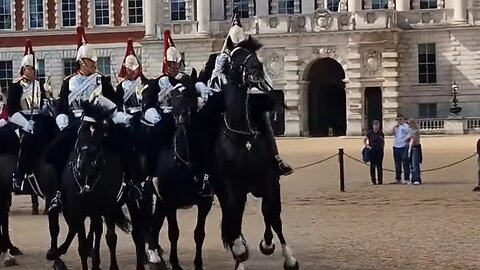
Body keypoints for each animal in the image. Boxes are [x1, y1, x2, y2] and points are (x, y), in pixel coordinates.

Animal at [146, 70, 214, 270]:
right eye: (172, 96)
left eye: (191, 93)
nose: (181, 118)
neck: (184, 163)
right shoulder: (170, 203)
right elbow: (173, 232)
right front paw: (175, 263)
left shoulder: (204, 203)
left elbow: (199, 233)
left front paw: (198, 264)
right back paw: (153, 255)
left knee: (155, 223)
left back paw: (156, 254)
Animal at [215, 36, 300, 270]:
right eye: (234, 56)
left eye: (253, 54)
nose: (257, 69)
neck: (243, 138)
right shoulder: (233, 188)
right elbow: (234, 220)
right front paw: (240, 253)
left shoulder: (270, 182)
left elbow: (273, 216)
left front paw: (284, 254)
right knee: (232, 220)